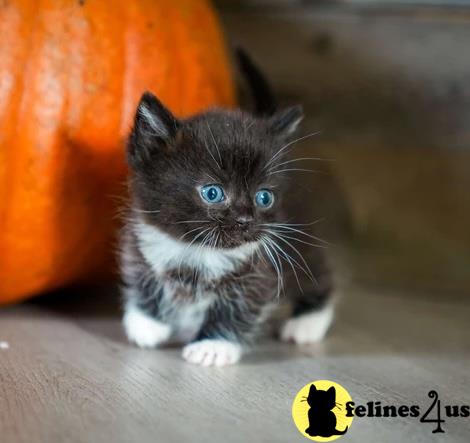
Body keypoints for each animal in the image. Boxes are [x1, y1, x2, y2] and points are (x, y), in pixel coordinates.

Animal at [121, 55, 334, 368]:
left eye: (264, 197)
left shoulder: (261, 267)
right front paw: (147, 322)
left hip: (302, 239)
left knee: (318, 273)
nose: (245, 220)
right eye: (213, 193)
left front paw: (213, 345)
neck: (197, 252)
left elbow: (241, 304)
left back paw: (307, 322)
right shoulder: (140, 239)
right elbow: (140, 273)